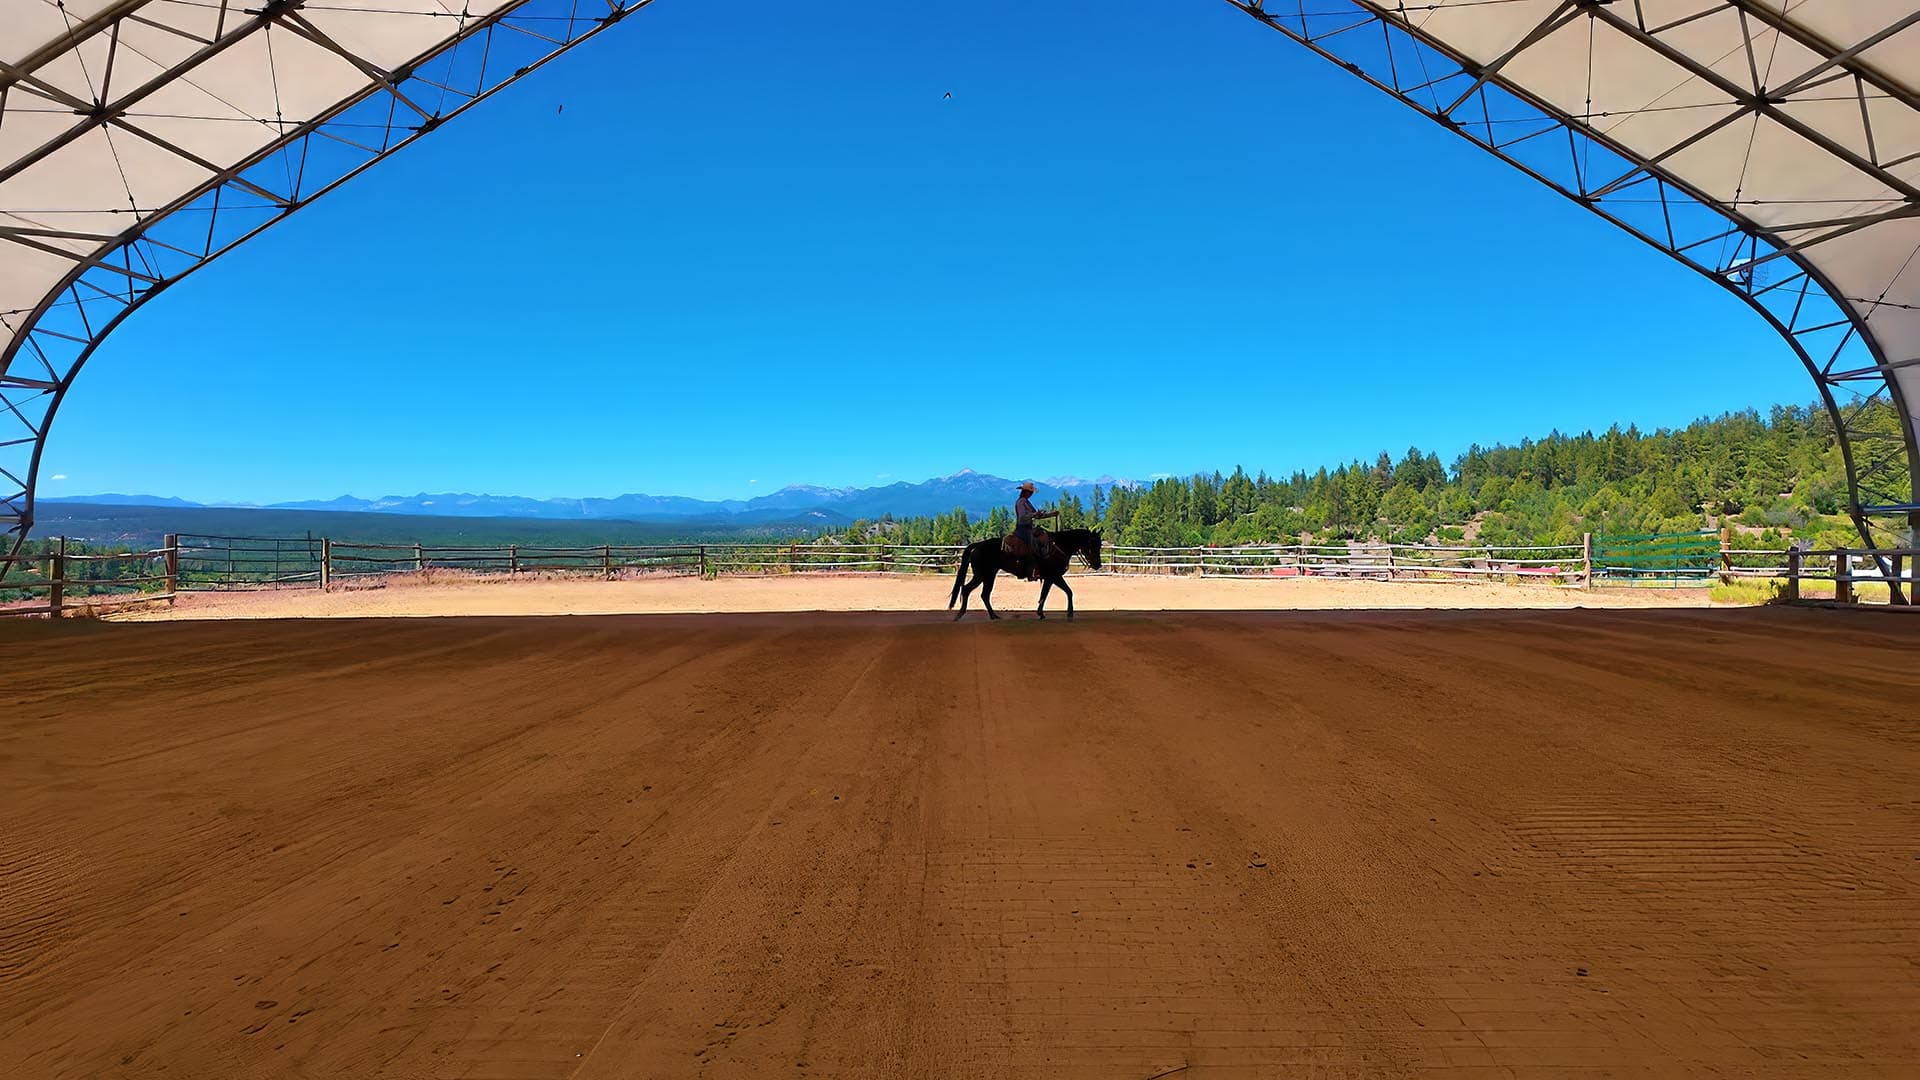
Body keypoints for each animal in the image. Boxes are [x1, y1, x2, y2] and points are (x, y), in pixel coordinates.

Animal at [948, 527, 1103, 621]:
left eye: (1100, 545)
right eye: (1093, 544)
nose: (1098, 565)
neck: (1058, 547)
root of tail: (978, 545)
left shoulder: (1050, 578)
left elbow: (1045, 594)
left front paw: (1041, 613)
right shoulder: (1054, 576)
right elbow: (1067, 591)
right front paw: (1069, 613)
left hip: (988, 576)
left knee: (983, 594)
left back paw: (992, 615)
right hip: (982, 575)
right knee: (968, 590)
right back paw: (962, 614)